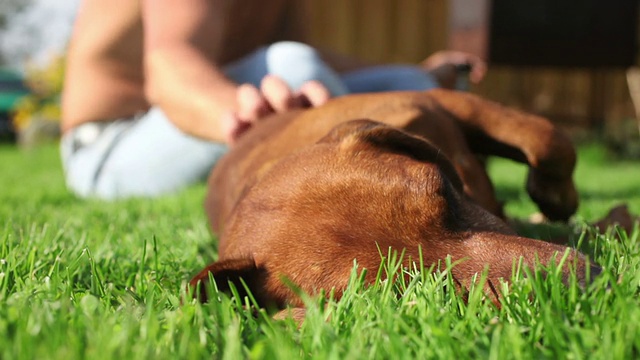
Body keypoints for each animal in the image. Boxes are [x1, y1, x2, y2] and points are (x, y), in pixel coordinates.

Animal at [189, 88, 600, 316]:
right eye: (404, 290)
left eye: (446, 194)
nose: (585, 284)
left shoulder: (449, 100)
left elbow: (549, 140)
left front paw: (556, 197)